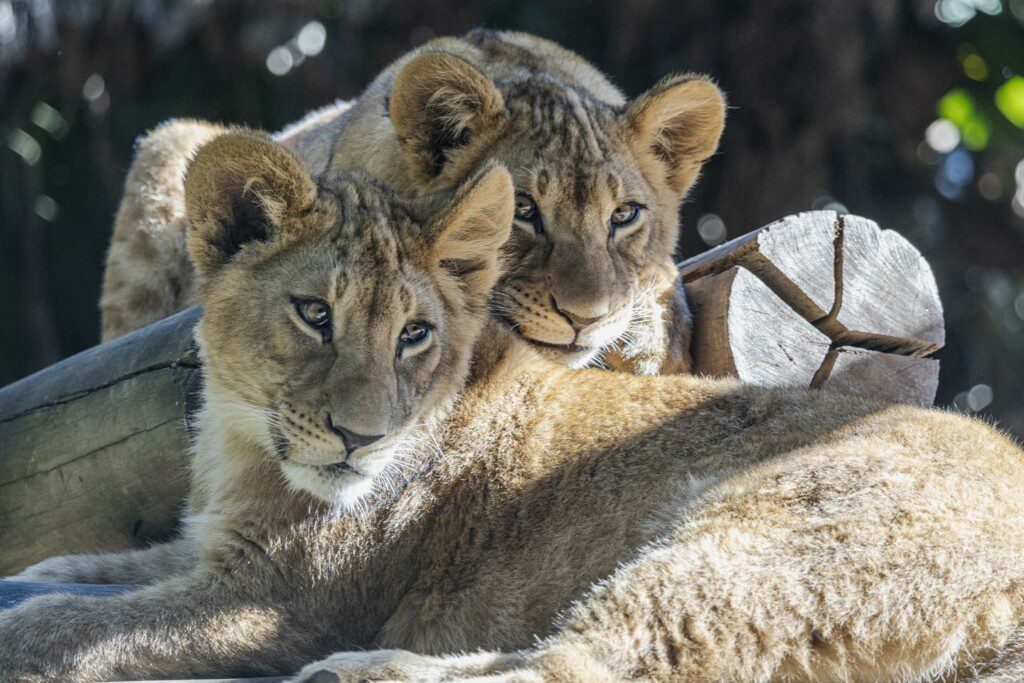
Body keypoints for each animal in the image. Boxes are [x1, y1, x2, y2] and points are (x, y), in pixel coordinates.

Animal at [8, 131, 1024, 679]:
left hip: (752, 534)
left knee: (579, 662)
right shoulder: (209, 547)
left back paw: (361, 671)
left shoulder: (275, 597)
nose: (359, 440)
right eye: (314, 313)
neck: (243, 441)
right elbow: (87, 567)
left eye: (415, 333)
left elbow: (65, 627)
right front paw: (50, 569)